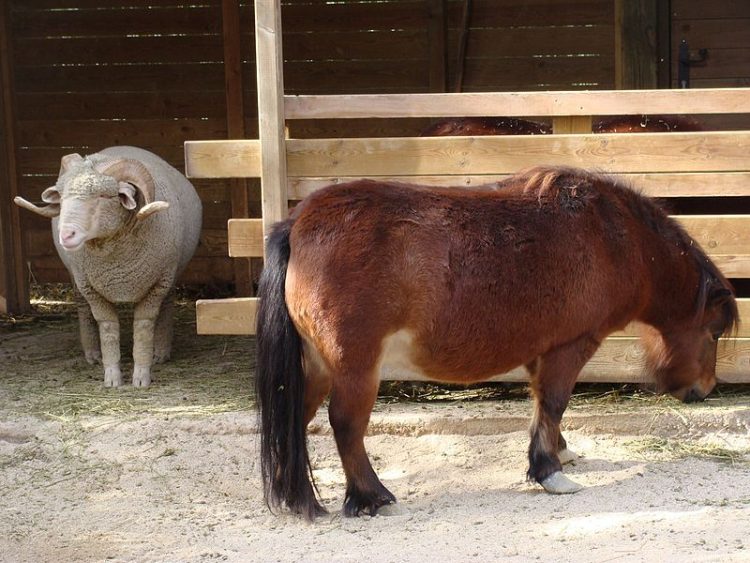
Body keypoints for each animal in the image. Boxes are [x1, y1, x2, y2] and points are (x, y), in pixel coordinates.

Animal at [254, 166, 740, 520]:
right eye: (714, 332)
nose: (704, 390)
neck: (615, 239)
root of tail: (297, 224)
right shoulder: (571, 345)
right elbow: (555, 402)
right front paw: (549, 471)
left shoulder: (540, 351)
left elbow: (543, 406)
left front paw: (559, 451)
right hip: (355, 366)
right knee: (345, 424)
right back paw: (371, 496)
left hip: (317, 364)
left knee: (297, 416)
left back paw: (296, 498)